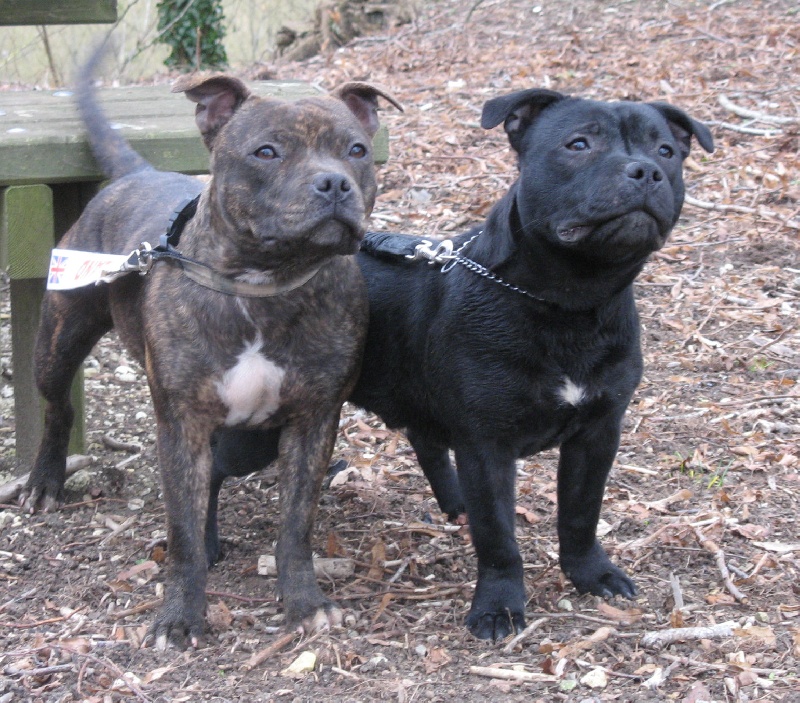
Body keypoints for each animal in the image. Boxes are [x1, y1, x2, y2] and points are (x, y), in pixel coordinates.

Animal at [209, 86, 716, 640]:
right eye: (578, 144)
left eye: (666, 151)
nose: (646, 171)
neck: (570, 301)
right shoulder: (487, 445)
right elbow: (498, 536)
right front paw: (498, 605)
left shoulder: (598, 432)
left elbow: (581, 513)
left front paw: (590, 573)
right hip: (260, 431)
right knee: (212, 468)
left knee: (425, 439)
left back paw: (454, 502)